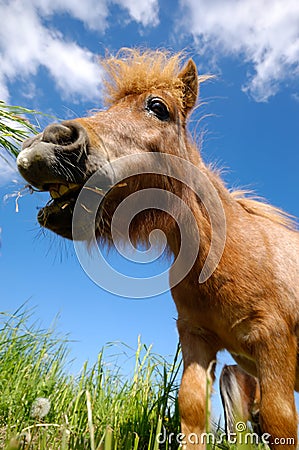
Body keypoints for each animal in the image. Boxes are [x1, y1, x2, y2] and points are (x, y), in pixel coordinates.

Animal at [17, 47, 299, 448]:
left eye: (158, 107)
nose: (48, 142)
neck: (230, 252)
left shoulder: (273, 343)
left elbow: (280, 422)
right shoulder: (197, 339)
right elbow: (193, 411)